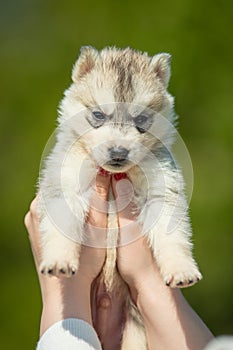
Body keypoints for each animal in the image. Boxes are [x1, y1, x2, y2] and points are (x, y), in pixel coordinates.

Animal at [37, 47, 201, 350]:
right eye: (98, 115)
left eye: (141, 120)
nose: (118, 153)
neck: (114, 176)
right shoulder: (65, 185)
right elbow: (62, 225)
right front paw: (59, 259)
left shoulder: (163, 191)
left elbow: (173, 236)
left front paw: (181, 268)